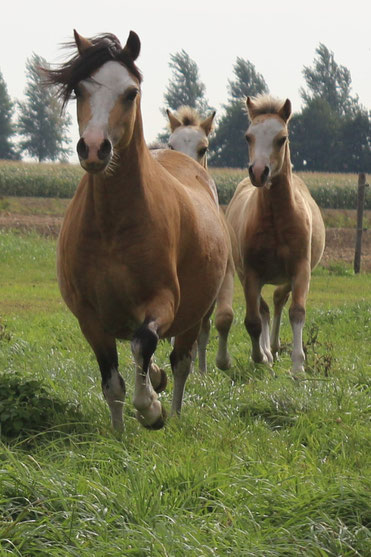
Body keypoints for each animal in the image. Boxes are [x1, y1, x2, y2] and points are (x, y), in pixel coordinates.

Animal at [225, 94, 324, 374]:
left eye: (282, 138)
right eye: (248, 136)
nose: (259, 172)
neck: (276, 221)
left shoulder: (300, 269)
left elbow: (297, 311)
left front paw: (298, 367)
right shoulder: (251, 274)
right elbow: (253, 320)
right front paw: (260, 357)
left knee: (279, 300)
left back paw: (277, 347)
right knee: (265, 309)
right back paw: (269, 351)